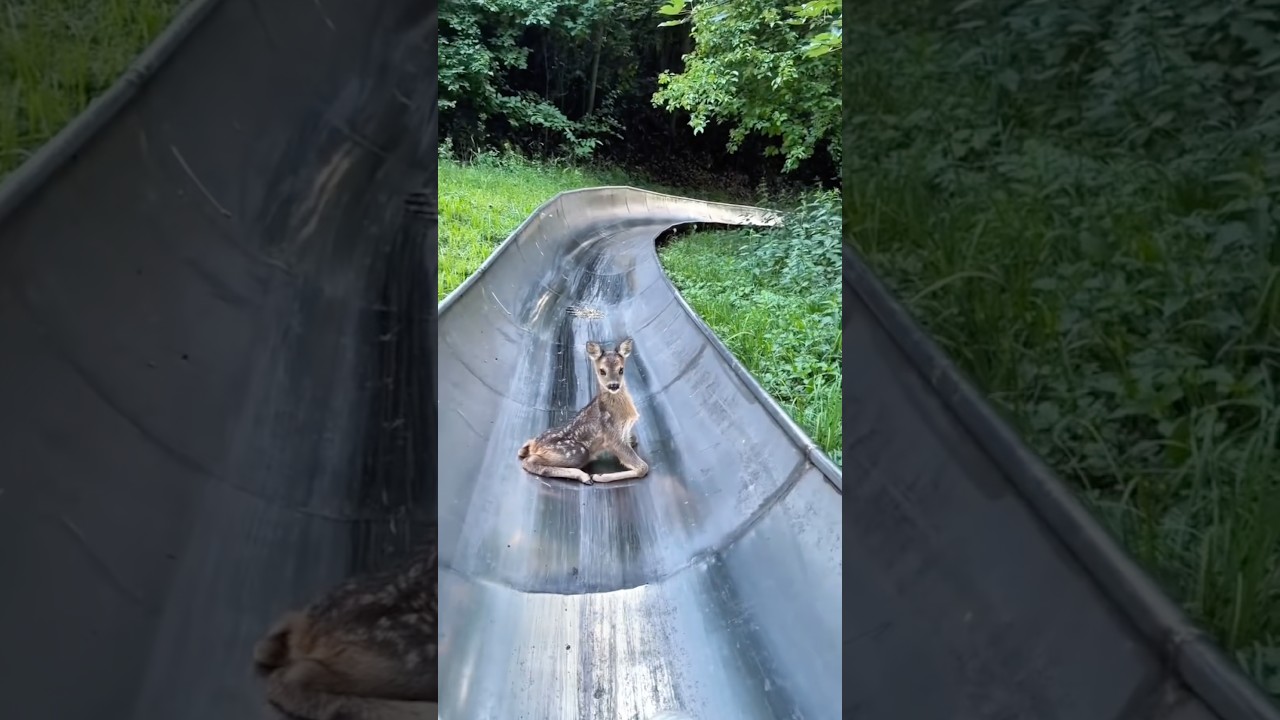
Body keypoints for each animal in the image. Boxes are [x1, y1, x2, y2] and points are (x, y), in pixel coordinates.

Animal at [517, 337, 650, 485]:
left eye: (621, 369)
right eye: (602, 371)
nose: (614, 385)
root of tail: (535, 445)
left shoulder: (624, 433)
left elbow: (635, 440)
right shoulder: (612, 436)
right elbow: (643, 467)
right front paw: (600, 476)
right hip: (578, 452)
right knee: (530, 461)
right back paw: (585, 476)